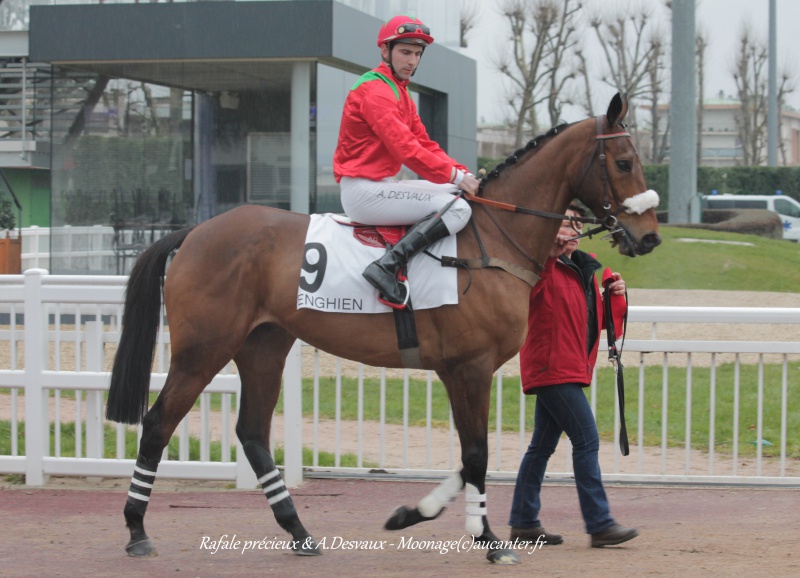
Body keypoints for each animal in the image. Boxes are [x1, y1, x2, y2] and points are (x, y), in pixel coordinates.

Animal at [106, 93, 664, 564]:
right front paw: (487, 539)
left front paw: (412, 514)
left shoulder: (461, 371)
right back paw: (135, 530)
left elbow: (469, 457)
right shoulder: (469, 368)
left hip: (263, 346)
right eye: (623, 162)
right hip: (203, 350)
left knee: (252, 433)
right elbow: (477, 455)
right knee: (158, 423)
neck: (491, 241)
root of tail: (197, 231)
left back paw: (299, 531)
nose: (650, 237)